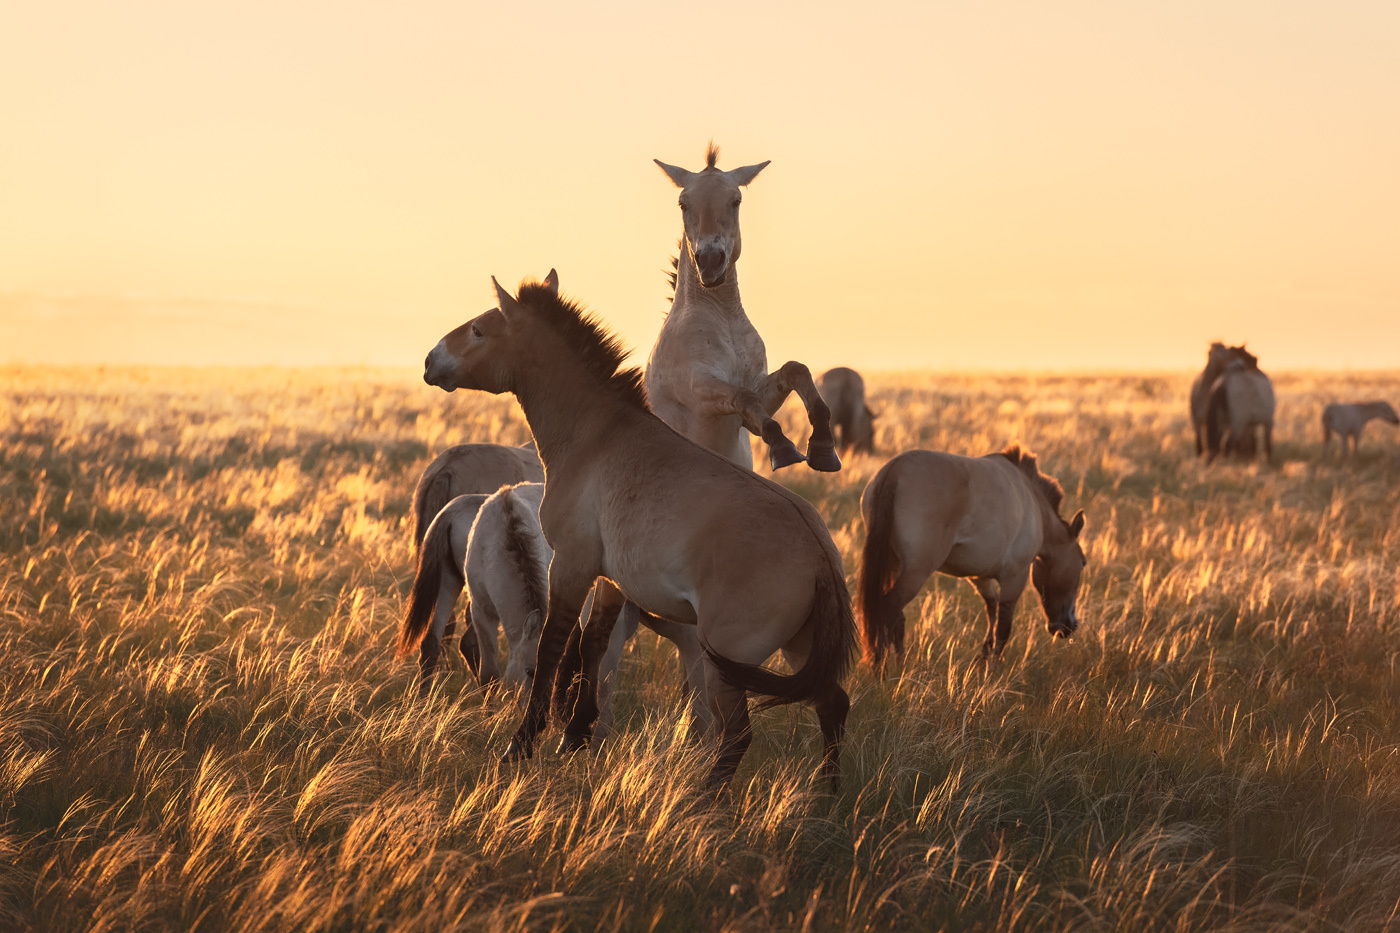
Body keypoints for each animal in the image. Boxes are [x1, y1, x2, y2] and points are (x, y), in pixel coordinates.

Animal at [423, 275, 856, 791]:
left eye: (478, 331)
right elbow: (592, 646)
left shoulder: (571, 566)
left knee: (737, 735)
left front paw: (523, 743)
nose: (430, 361)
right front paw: (576, 735)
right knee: (832, 706)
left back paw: (702, 798)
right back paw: (826, 795)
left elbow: (553, 649)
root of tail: (819, 556)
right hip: (798, 648)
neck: (598, 437)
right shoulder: (611, 580)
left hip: (727, 666)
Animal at [646, 143, 840, 474]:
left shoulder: (754, 405)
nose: (711, 262)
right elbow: (743, 396)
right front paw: (783, 448)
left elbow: (795, 370)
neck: (722, 317)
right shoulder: (700, 392)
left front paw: (823, 447)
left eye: (736, 201)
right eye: (683, 204)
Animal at [856, 445, 1087, 672]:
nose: (1068, 627)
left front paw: (981, 660)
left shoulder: (979, 576)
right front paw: (993, 671)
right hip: (916, 571)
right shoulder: (1015, 577)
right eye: (1083, 563)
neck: (1031, 498)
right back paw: (881, 669)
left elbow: (991, 612)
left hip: (894, 565)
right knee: (889, 607)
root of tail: (895, 469)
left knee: (896, 617)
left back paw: (900, 664)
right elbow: (1003, 628)